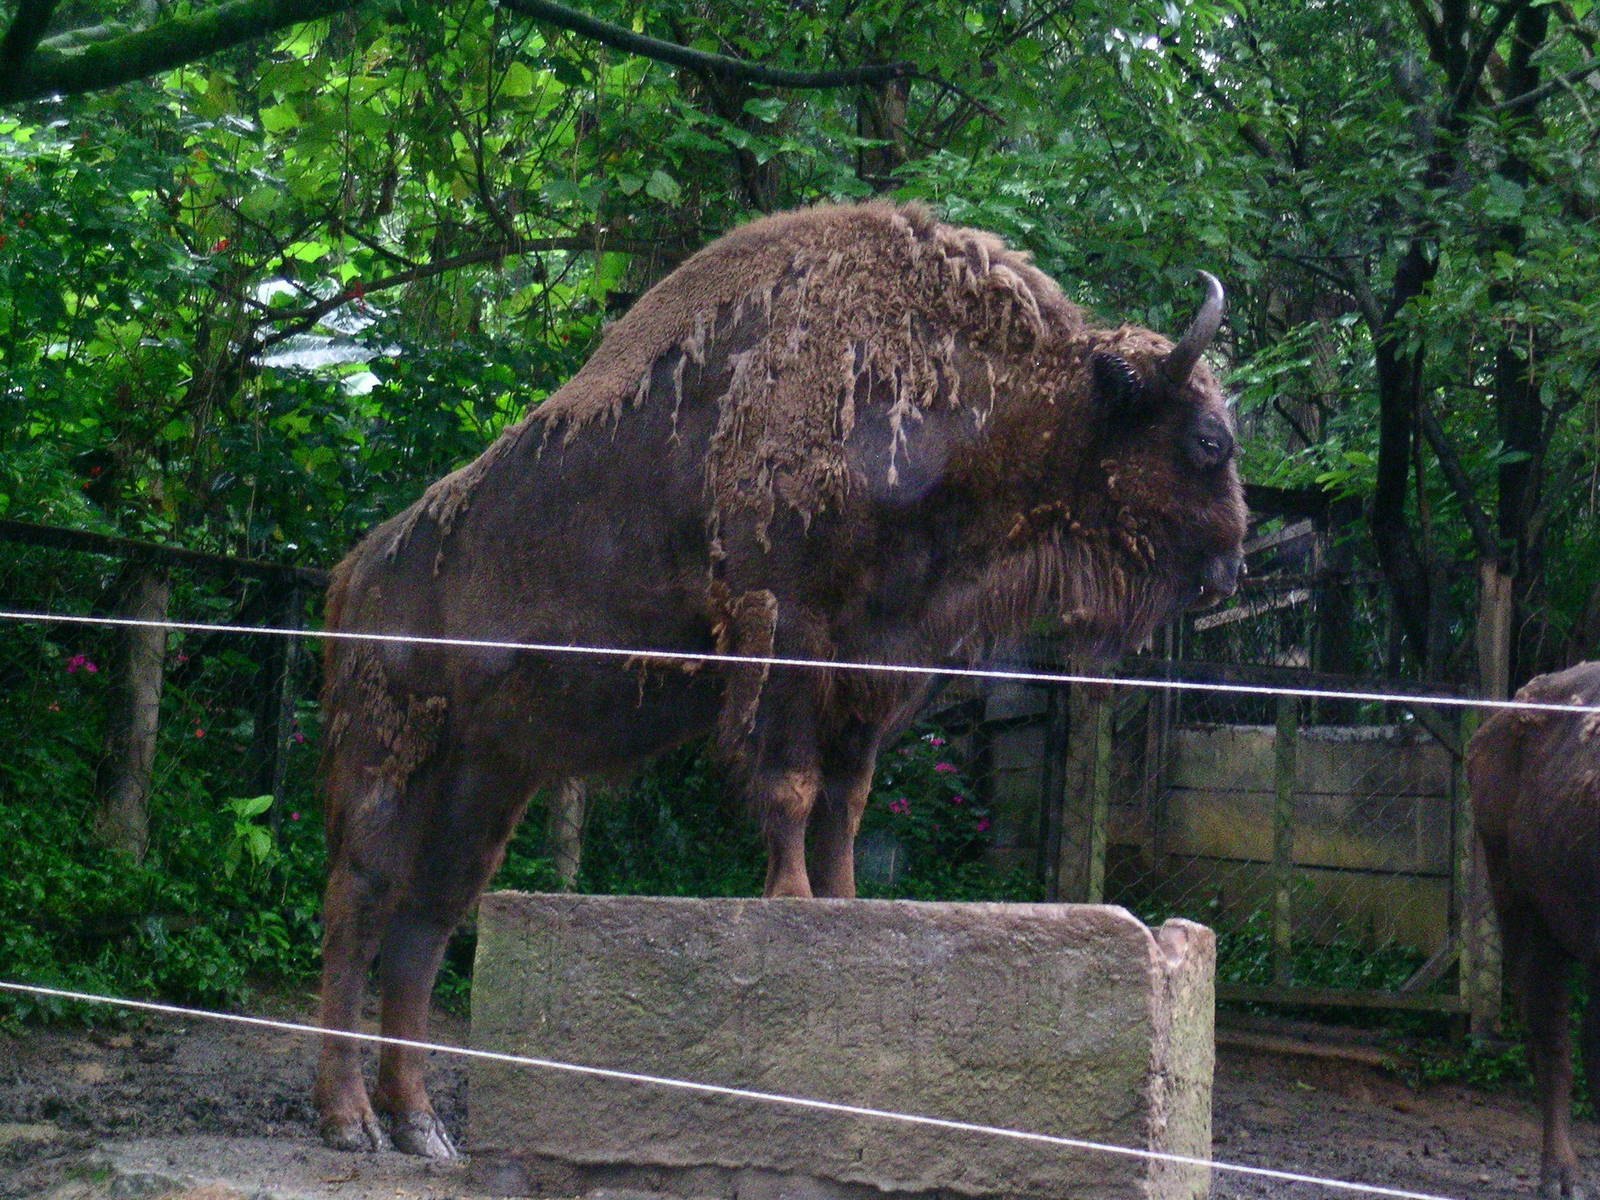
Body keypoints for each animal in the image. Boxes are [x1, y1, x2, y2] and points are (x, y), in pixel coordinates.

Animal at [314, 201, 1248, 1157]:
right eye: (1207, 439)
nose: (1229, 570)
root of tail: (355, 575)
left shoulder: (874, 669)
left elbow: (847, 803)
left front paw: (844, 904)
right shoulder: (789, 634)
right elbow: (793, 786)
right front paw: (792, 899)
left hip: (487, 776)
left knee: (426, 922)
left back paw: (421, 1125)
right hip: (389, 757)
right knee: (360, 903)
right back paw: (351, 1121)